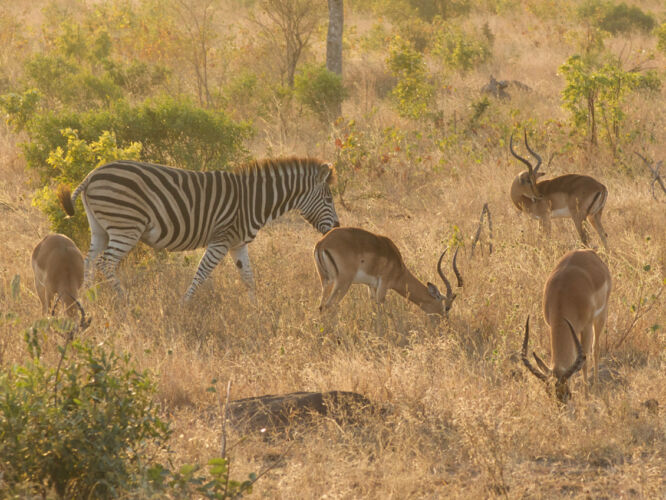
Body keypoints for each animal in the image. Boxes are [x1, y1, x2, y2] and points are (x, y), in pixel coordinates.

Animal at [57, 157, 340, 300]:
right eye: (329, 199)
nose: (337, 227)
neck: (253, 200)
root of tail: (92, 175)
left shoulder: (237, 244)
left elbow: (249, 279)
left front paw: (257, 309)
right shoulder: (221, 239)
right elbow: (202, 273)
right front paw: (185, 305)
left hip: (101, 228)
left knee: (89, 261)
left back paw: (89, 298)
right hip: (126, 226)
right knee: (105, 263)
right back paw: (125, 301)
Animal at [313, 227, 462, 316]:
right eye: (447, 307)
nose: (445, 323)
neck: (399, 268)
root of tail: (322, 243)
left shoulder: (371, 286)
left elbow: (373, 308)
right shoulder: (383, 284)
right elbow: (381, 308)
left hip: (326, 281)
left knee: (321, 306)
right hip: (343, 282)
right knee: (329, 306)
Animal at [521, 249, 612, 402]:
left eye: (567, 393)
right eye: (549, 393)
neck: (563, 294)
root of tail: (588, 252)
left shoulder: (586, 327)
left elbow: (584, 361)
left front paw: (586, 397)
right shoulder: (552, 325)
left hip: (600, 316)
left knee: (595, 349)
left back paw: (595, 387)